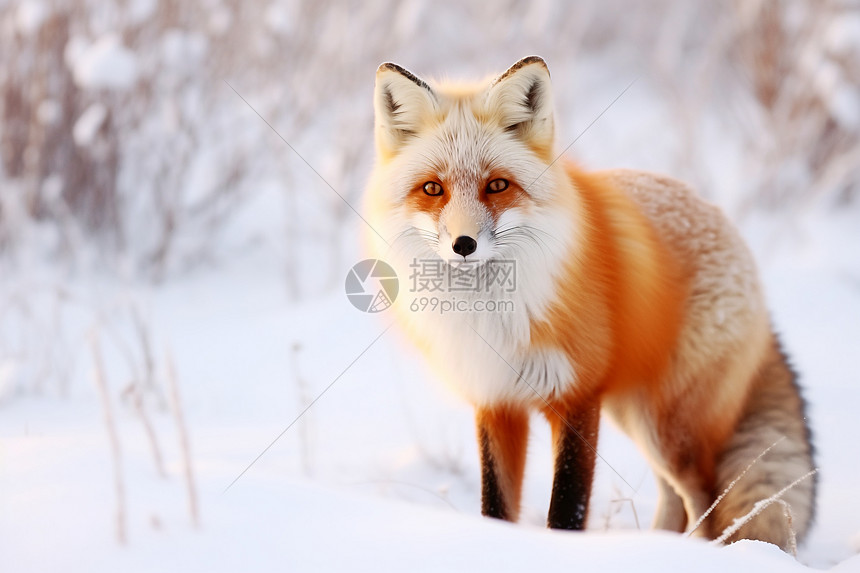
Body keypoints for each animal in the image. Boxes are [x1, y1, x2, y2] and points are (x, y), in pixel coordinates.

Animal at [362, 54, 812, 548]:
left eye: (497, 185)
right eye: (432, 189)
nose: (464, 245)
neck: (493, 314)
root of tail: (722, 221)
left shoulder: (576, 397)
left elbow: (567, 508)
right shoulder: (496, 401)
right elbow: (496, 507)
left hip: (668, 430)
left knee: (705, 499)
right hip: (634, 416)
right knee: (673, 499)